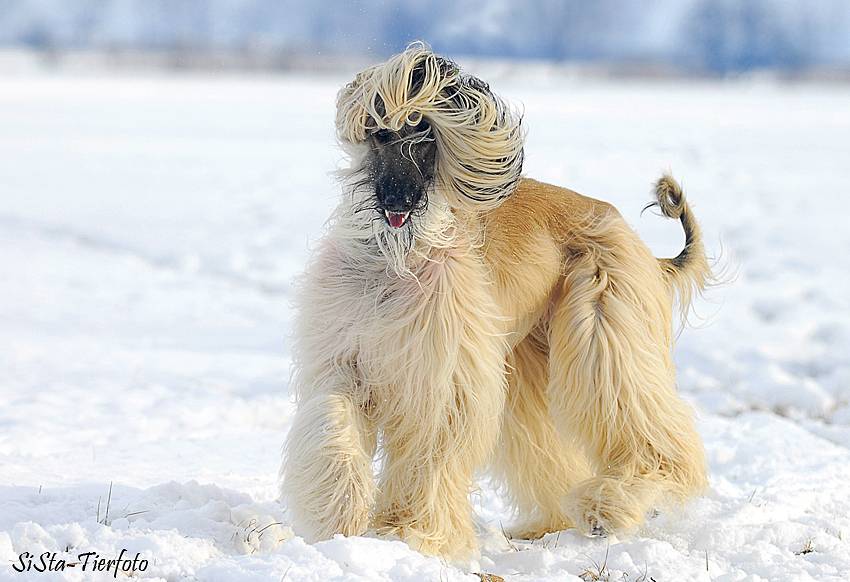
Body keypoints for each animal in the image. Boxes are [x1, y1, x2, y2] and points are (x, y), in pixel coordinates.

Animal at [280, 42, 708, 560]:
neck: (395, 260)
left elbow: (431, 449)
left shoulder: (441, 375)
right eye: (382, 133)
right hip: (526, 356)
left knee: (643, 422)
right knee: (548, 445)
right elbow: (332, 419)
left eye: (424, 136)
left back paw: (608, 507)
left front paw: (409, 532)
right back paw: (549, 525)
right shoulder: (348, 356)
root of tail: (624, 228)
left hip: (600, 318)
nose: (398, 202)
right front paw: (340, 514)